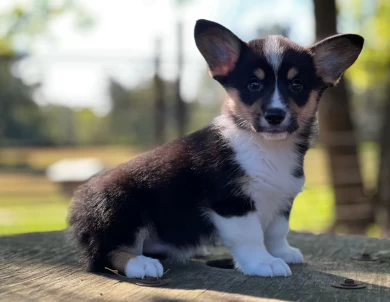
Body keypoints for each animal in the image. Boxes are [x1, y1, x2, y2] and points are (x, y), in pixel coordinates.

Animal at [68, 19, 364, 278]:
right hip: (122, 207)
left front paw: (283, 253)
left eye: (296, 85)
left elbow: (277, 231)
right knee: (108, 252)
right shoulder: (232, 202)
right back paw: (141, 263)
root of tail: (79, 208)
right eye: (253, 84)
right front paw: (264, 263)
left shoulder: (282, 200)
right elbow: (251, 236)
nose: (275, 115)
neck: (267, 147)